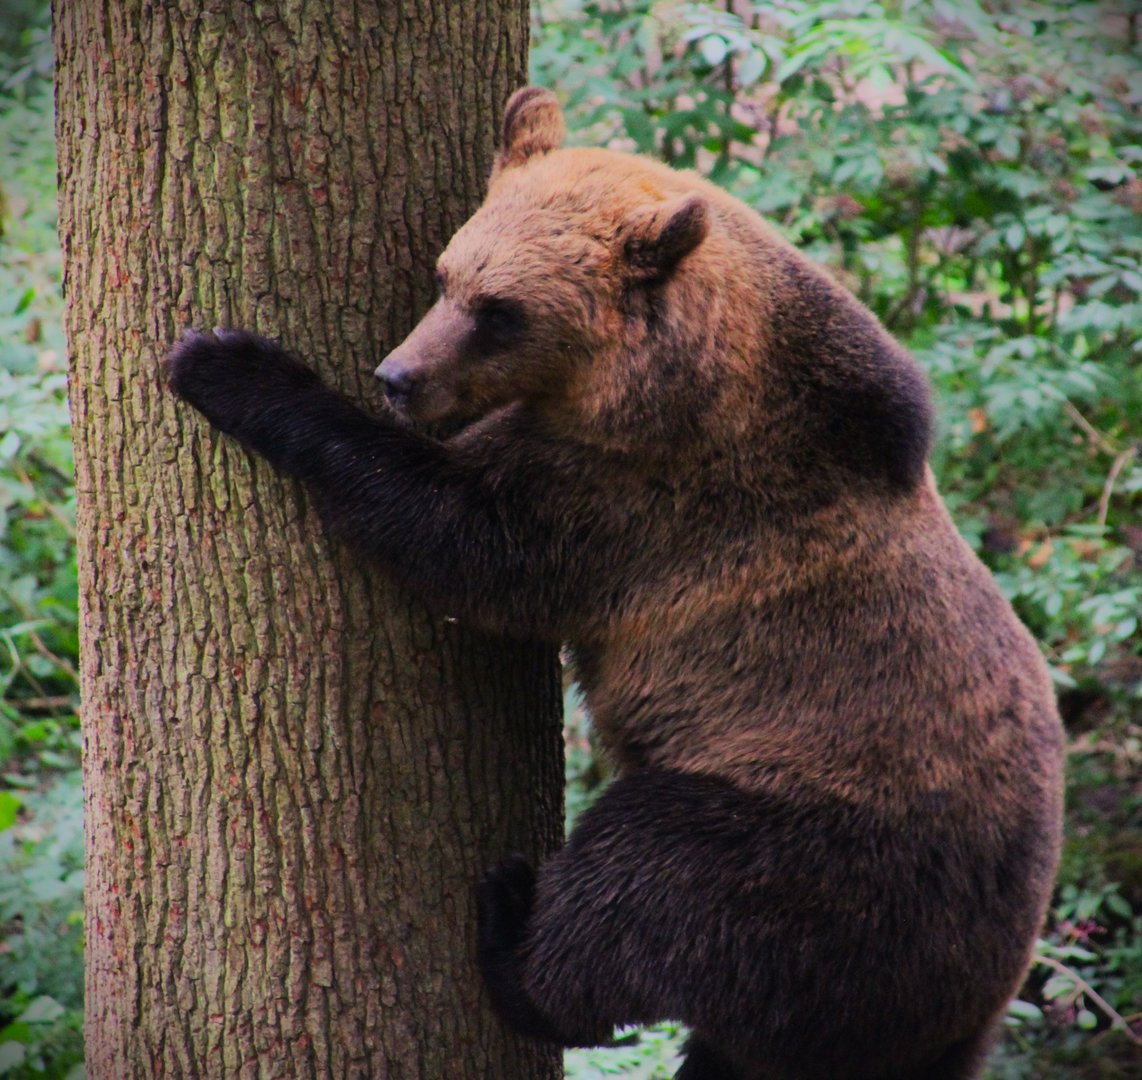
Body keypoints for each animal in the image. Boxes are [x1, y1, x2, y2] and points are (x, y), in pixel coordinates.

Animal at [166, 86, 1065, 1080]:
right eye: (446, 274)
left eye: (500, 311)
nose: (399, 377)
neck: (678, 383)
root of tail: (976, 1004)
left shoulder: (644, 510)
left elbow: (454, 533)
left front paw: (226, 363)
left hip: (826, 845)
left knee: (648, 878)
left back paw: (510, 926)